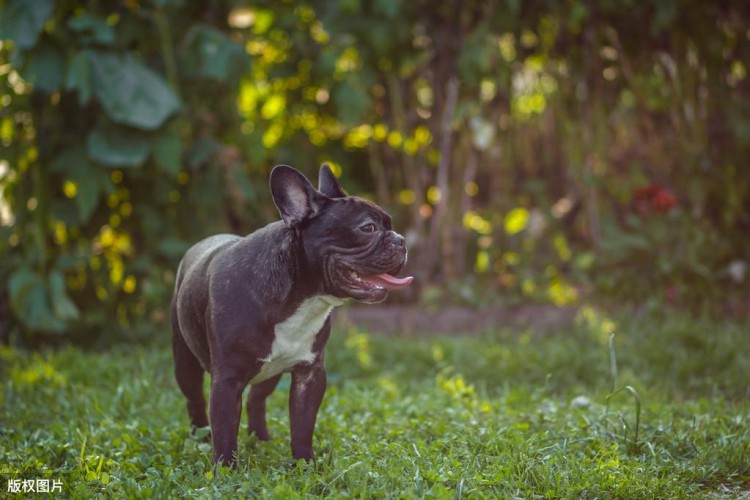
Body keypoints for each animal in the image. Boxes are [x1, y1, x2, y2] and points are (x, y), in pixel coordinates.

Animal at [172, 164, 412, 464]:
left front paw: (305, 463)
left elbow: (302, 423)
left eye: (390, 225)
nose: (401, 240)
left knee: (256, 398)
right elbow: (225, 430)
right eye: (368, 228)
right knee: (195, 399)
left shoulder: (310, 375)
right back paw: (201, 437)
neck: (301, 299)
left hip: (270, 371)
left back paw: (259, 438)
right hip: (185, 362)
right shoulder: (226, 380)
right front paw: (225, 468)